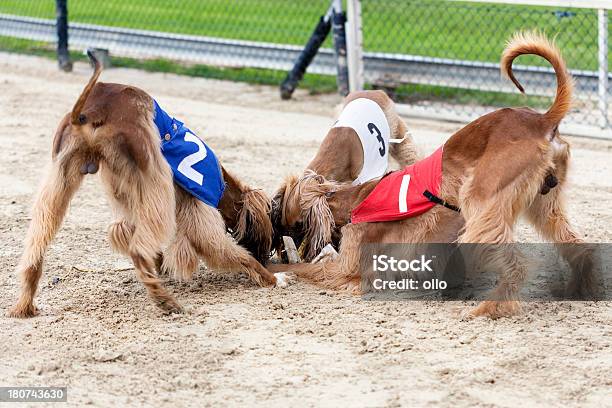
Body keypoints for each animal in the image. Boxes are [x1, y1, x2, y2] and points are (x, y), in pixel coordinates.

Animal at [9, 51, 282, 318]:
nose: (269, 256)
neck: (224, 187)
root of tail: (91, 109)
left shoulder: (129, 204)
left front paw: (160, 266)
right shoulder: (198, 210)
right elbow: (224, 248)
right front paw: (271, 278)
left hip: (59, 180)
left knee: (35, 249)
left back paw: (25, 305)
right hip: (155, 176)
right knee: (138, 250)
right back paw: (165, 302)